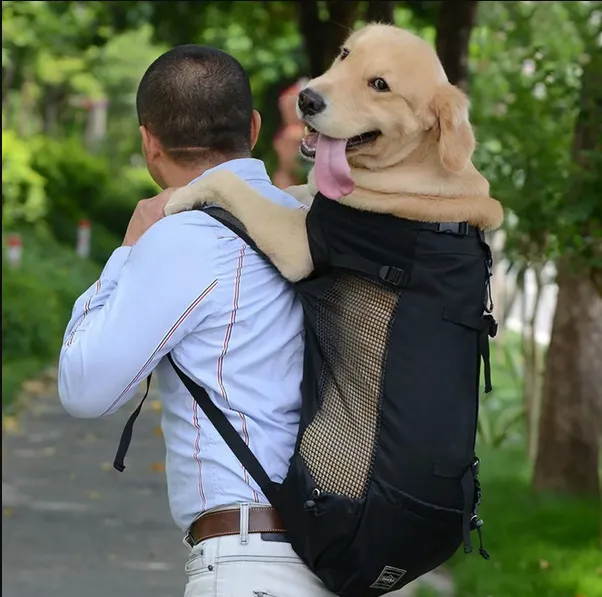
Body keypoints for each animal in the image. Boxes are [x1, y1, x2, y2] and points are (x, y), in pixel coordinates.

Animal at [163, 22, 502, 280]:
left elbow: (228, 180)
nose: (306, 99)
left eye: (380, 84)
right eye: (345, 54)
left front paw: (180, 195)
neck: (407, 163)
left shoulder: (299, 245)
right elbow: (292, 189)